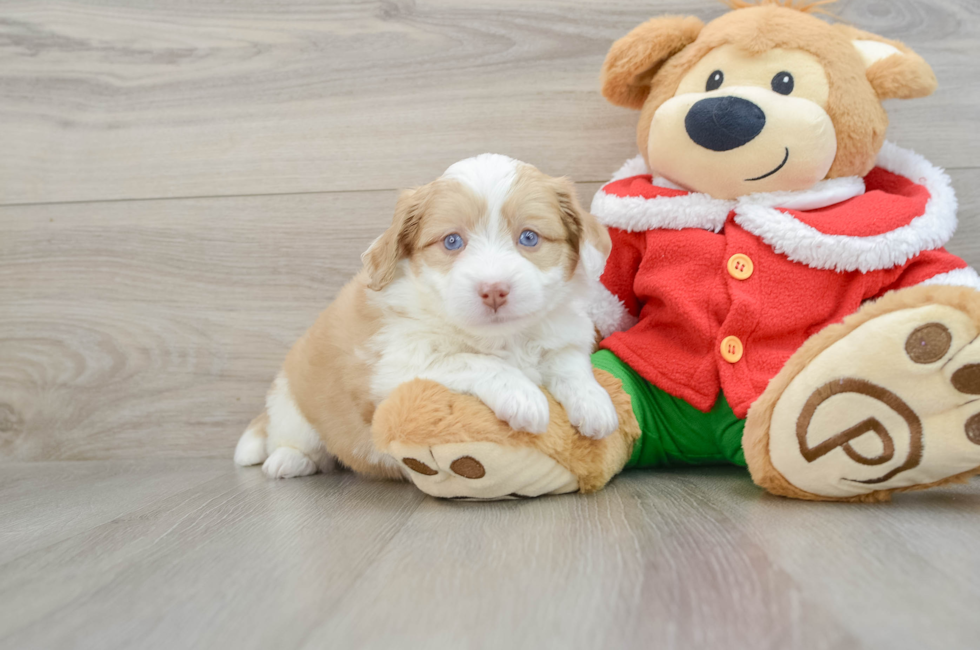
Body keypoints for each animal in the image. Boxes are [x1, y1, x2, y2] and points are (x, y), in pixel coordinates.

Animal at [234, 154, 616, 478]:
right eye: (452, 242)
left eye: (529, 237)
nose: (494, 290)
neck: (500, 337)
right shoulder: (395, 368)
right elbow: (470, 361)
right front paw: (522, 395)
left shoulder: (565, 333)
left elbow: (569, 364)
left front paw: (594, 403)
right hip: (295, 405)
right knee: (295, 437)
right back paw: (288, 459)